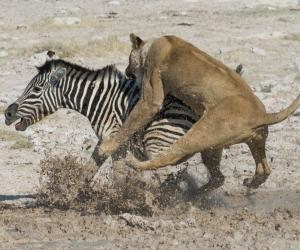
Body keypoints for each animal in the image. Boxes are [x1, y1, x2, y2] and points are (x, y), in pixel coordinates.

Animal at [97, 33, 298, 191]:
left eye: (128, 59)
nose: (126, 71)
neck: (154, 43)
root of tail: (262, 115)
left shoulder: (151, 96)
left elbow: (130, 124)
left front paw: (105, 147)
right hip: (247, 141)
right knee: (261, 169)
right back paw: (244, 183)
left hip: (203, 131)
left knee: (171, 156)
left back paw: (135, 163)